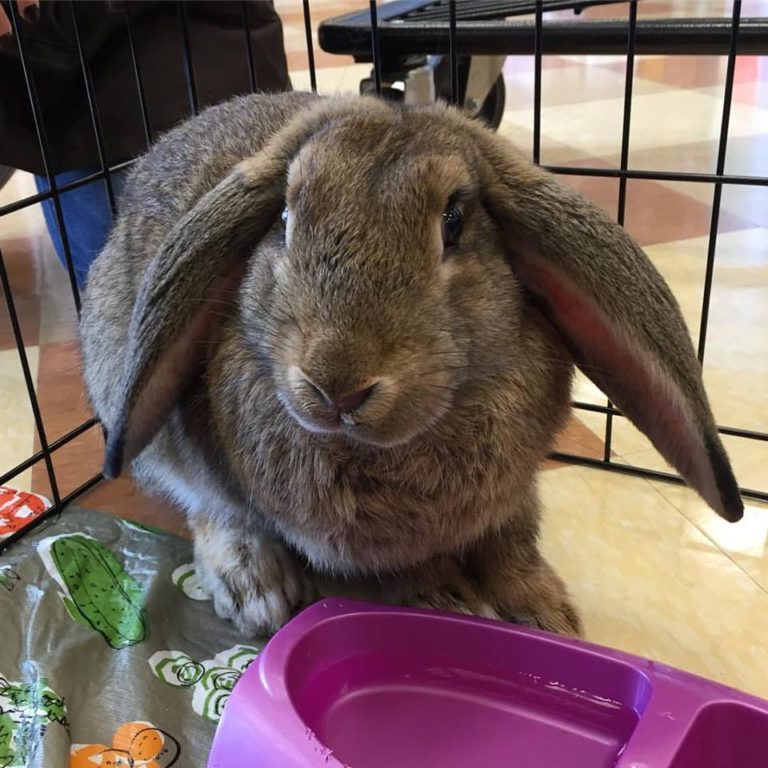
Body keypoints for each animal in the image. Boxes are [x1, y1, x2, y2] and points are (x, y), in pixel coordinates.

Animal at [80, 91, 743, 639]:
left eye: (453, 222)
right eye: (285, 221)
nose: (337, 386)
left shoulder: (511, 499)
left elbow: (513, 543)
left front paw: (547, 615)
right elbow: (407, 564)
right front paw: (448, 598)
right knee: (209, 505)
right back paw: (258, 593)